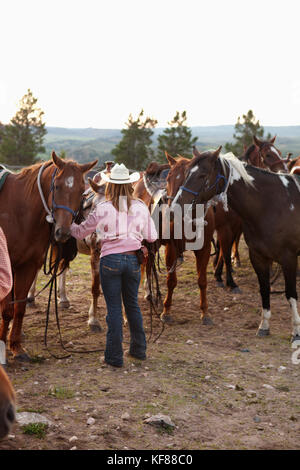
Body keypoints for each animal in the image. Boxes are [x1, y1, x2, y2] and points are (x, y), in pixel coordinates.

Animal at [0, 153, 96, 360]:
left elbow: (19, 308)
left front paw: (16, 347)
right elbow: (7, 309)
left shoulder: (28, 266)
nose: (63, 232)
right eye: (57, 186)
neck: (18, 212)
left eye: (82, 191)